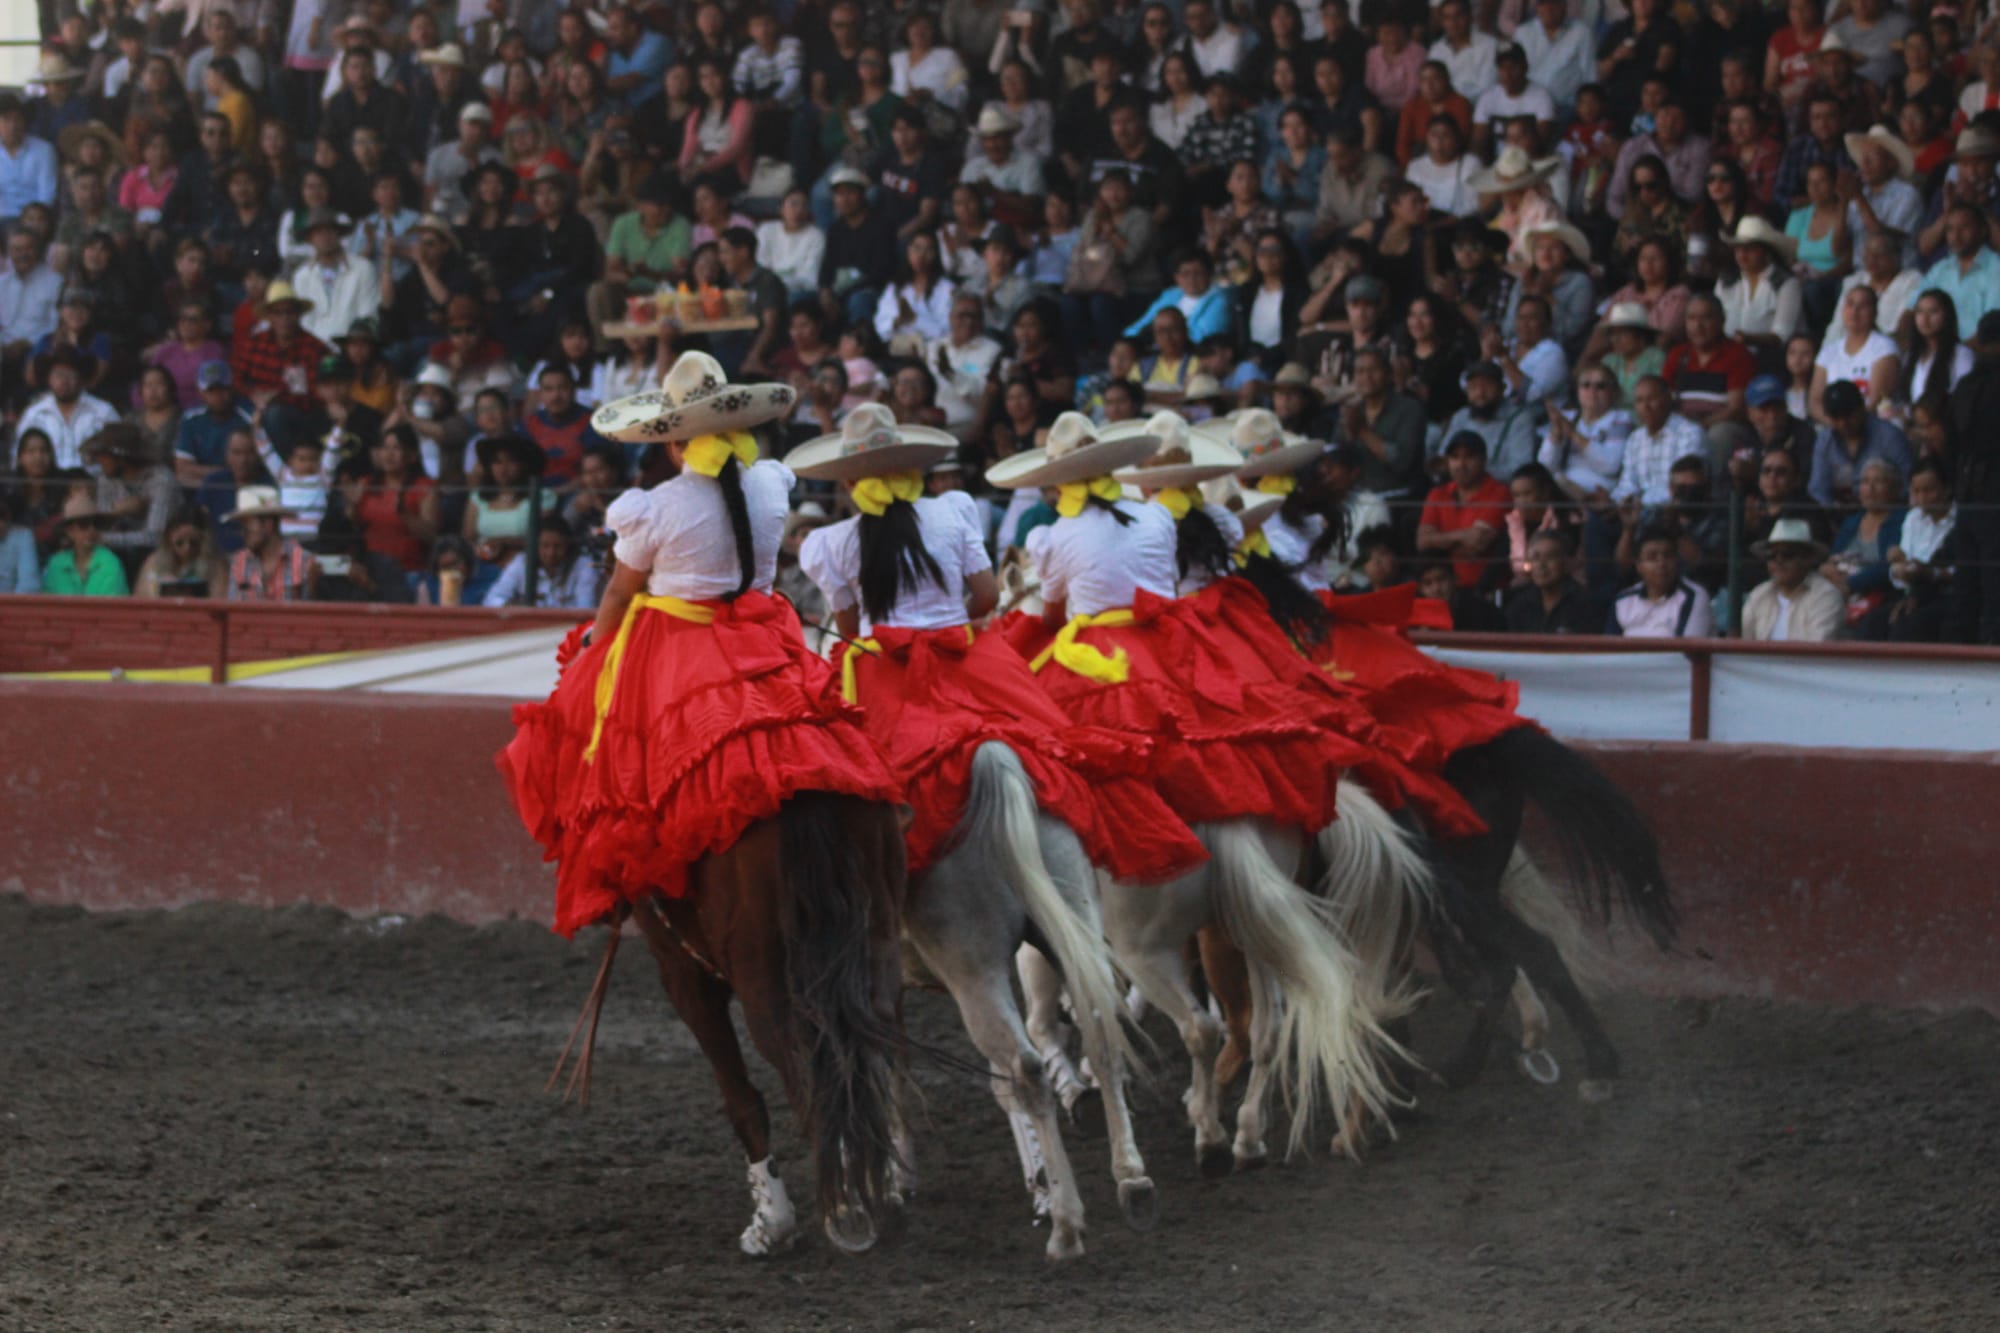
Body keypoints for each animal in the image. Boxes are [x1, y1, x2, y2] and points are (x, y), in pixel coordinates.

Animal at [600, 792, 908, 1248]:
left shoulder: (681, 973)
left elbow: (739, 1094)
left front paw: (772, 1221)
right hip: (879, 929)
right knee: (874, 1042)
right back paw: (880, 1184)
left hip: (759, 974)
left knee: (805, 1073)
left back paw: (842, 1209)